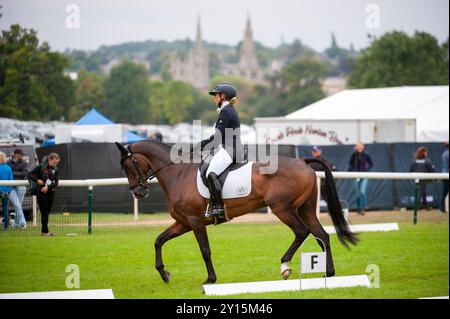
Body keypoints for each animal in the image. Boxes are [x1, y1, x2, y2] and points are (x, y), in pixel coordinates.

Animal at [115, 142, 358, 284]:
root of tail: (302, 161)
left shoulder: (195, 222)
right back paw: (329, 273)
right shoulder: (183, 223)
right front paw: (164, 274)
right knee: (321, 235)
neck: (178, 174)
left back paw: (285, 266)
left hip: (282, 208)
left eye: (128, 165)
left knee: (302, 232)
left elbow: (205, 250)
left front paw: (210, 279)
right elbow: (158, 240)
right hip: (305, 209)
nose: (138, 192)